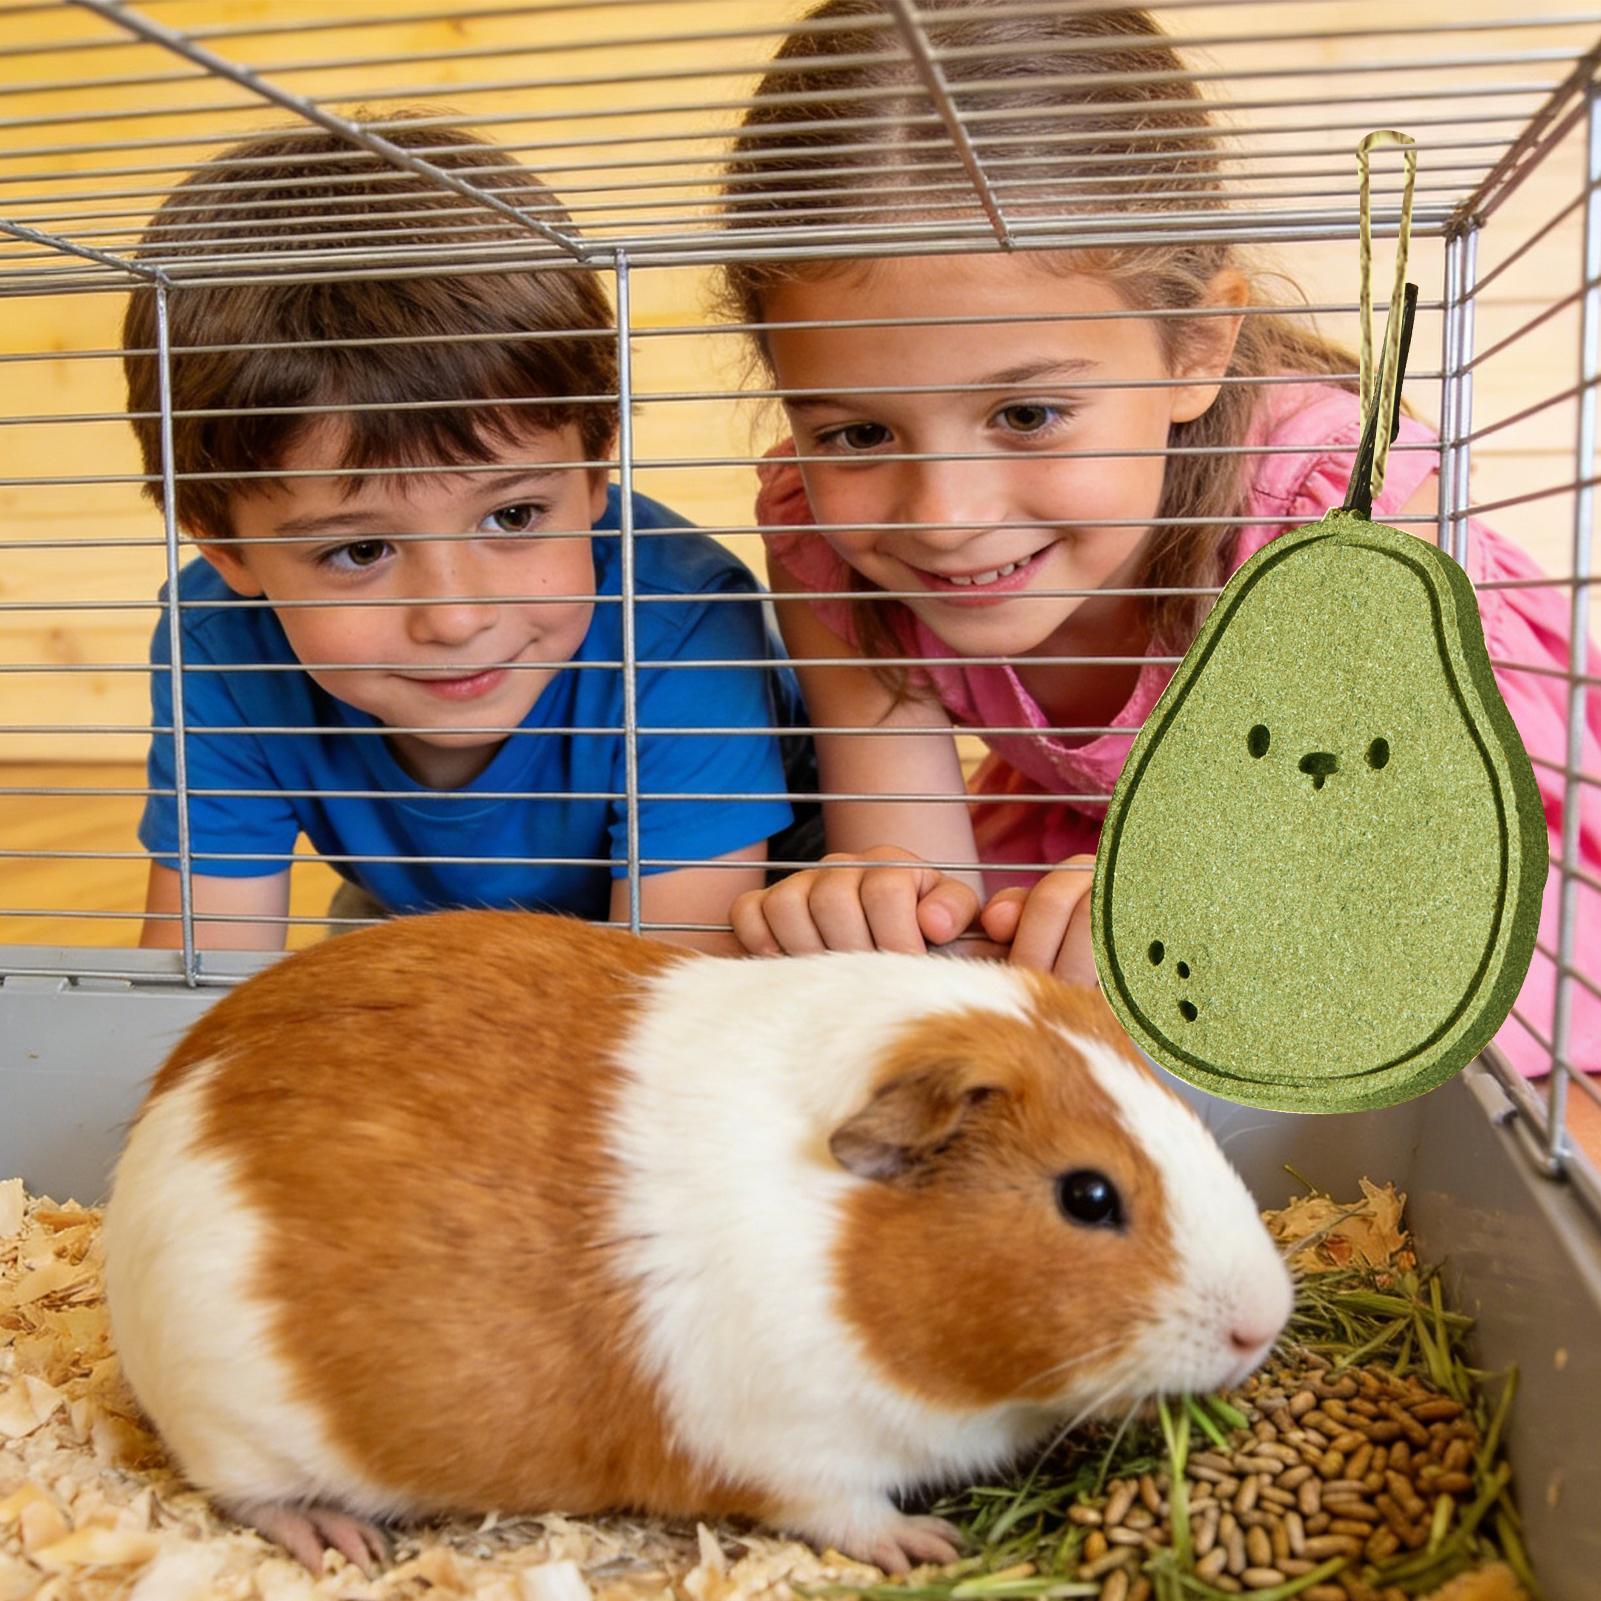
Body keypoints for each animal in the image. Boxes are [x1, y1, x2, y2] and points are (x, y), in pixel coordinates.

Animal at [103, 911, 1293, 1576]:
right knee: (248, 1492)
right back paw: (340, 1542)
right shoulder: (789, 1443)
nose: (1263, 1321)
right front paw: (925, 1550)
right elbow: (841, 1509)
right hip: (237, 1428)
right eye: (1086, 1195)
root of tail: (157, 1132)